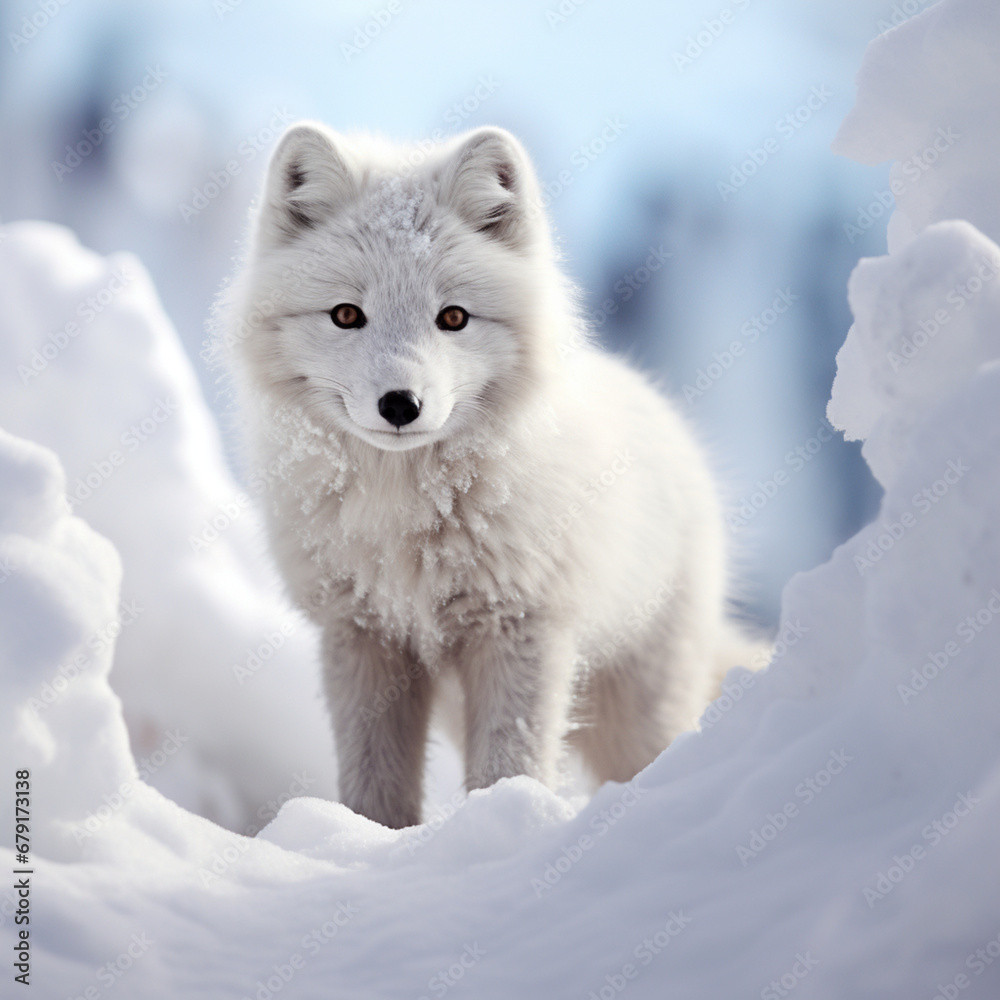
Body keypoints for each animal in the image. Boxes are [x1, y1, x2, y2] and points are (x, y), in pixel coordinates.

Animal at [223, 121, 761, 829]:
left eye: (452, 317)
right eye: (345, 315)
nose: (400, 404)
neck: (404, 512)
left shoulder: (521, 629)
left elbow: (512, 764)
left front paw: (505, 823)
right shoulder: (363, 635)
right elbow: (374, 785)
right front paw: (368, 838)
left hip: (638, 704)